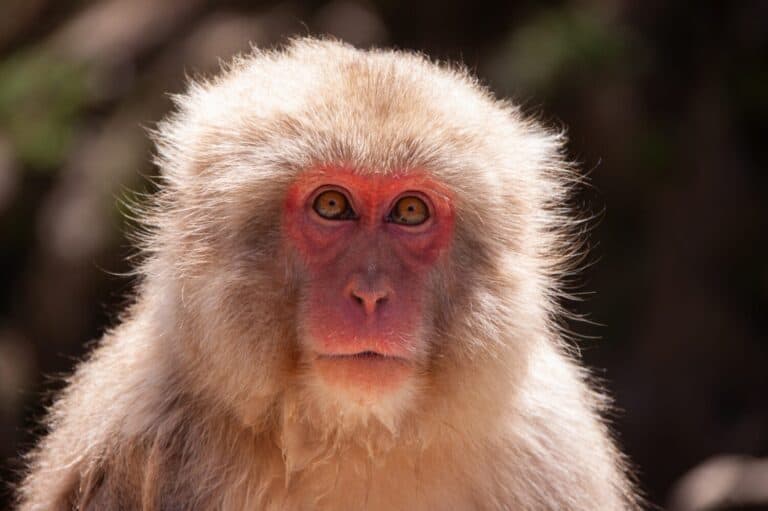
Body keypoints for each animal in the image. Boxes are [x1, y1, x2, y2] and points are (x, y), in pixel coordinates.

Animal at [17, 38, 639, 510]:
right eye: (332, 206)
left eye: (409, 211)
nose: (370, 295)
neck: (351, 437)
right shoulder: (130, 433)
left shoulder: (552, 446)